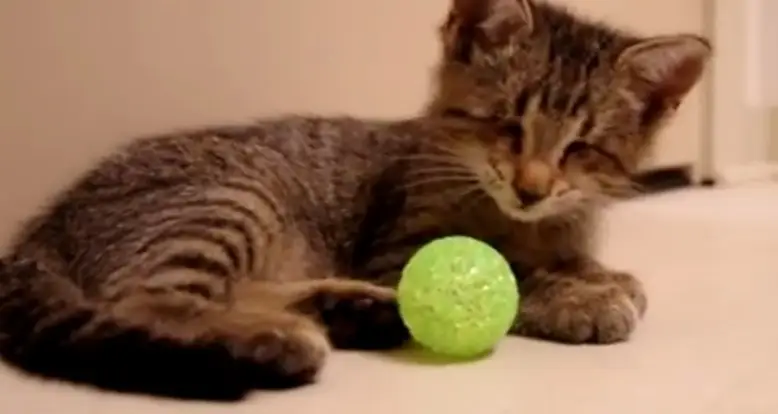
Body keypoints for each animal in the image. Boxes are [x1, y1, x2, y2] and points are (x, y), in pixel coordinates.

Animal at [0, 0, 708, 402]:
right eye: (507, 126)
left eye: (581, 149)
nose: (530, 187)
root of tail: (43, 224)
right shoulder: (398, 247)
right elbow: (509, 278)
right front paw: (579, 297)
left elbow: (571, 260)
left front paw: (598, 275)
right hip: (233, 197)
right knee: (149, 300)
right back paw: (272, 341)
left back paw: (349, 312)